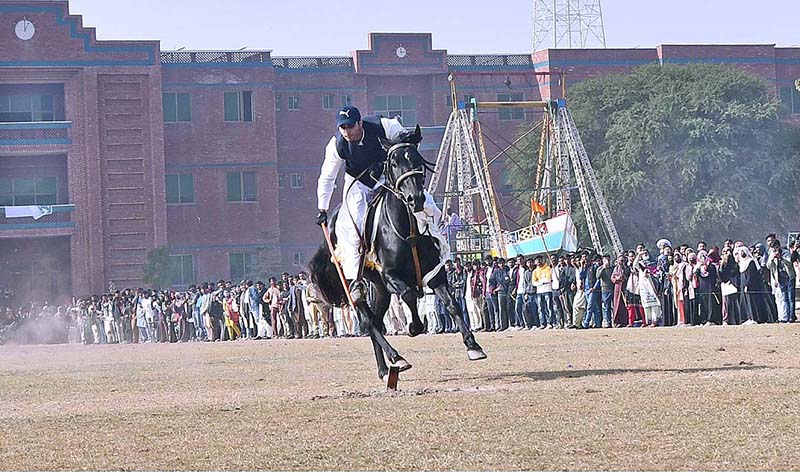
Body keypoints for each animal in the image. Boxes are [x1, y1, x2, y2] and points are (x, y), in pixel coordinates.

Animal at [308, 125, 488, 380]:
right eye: (393, 162)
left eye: (416, 158)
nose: (416, 198)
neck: (407, 229)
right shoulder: (391, 276)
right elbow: (410, 296)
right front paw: (414, 327)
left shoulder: (435, 273)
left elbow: (452, 304)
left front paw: (473, 346)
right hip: (358, 280)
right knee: (368, 320)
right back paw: (396, 357)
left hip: (380, 288)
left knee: (375, 320)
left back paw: (384, 368)